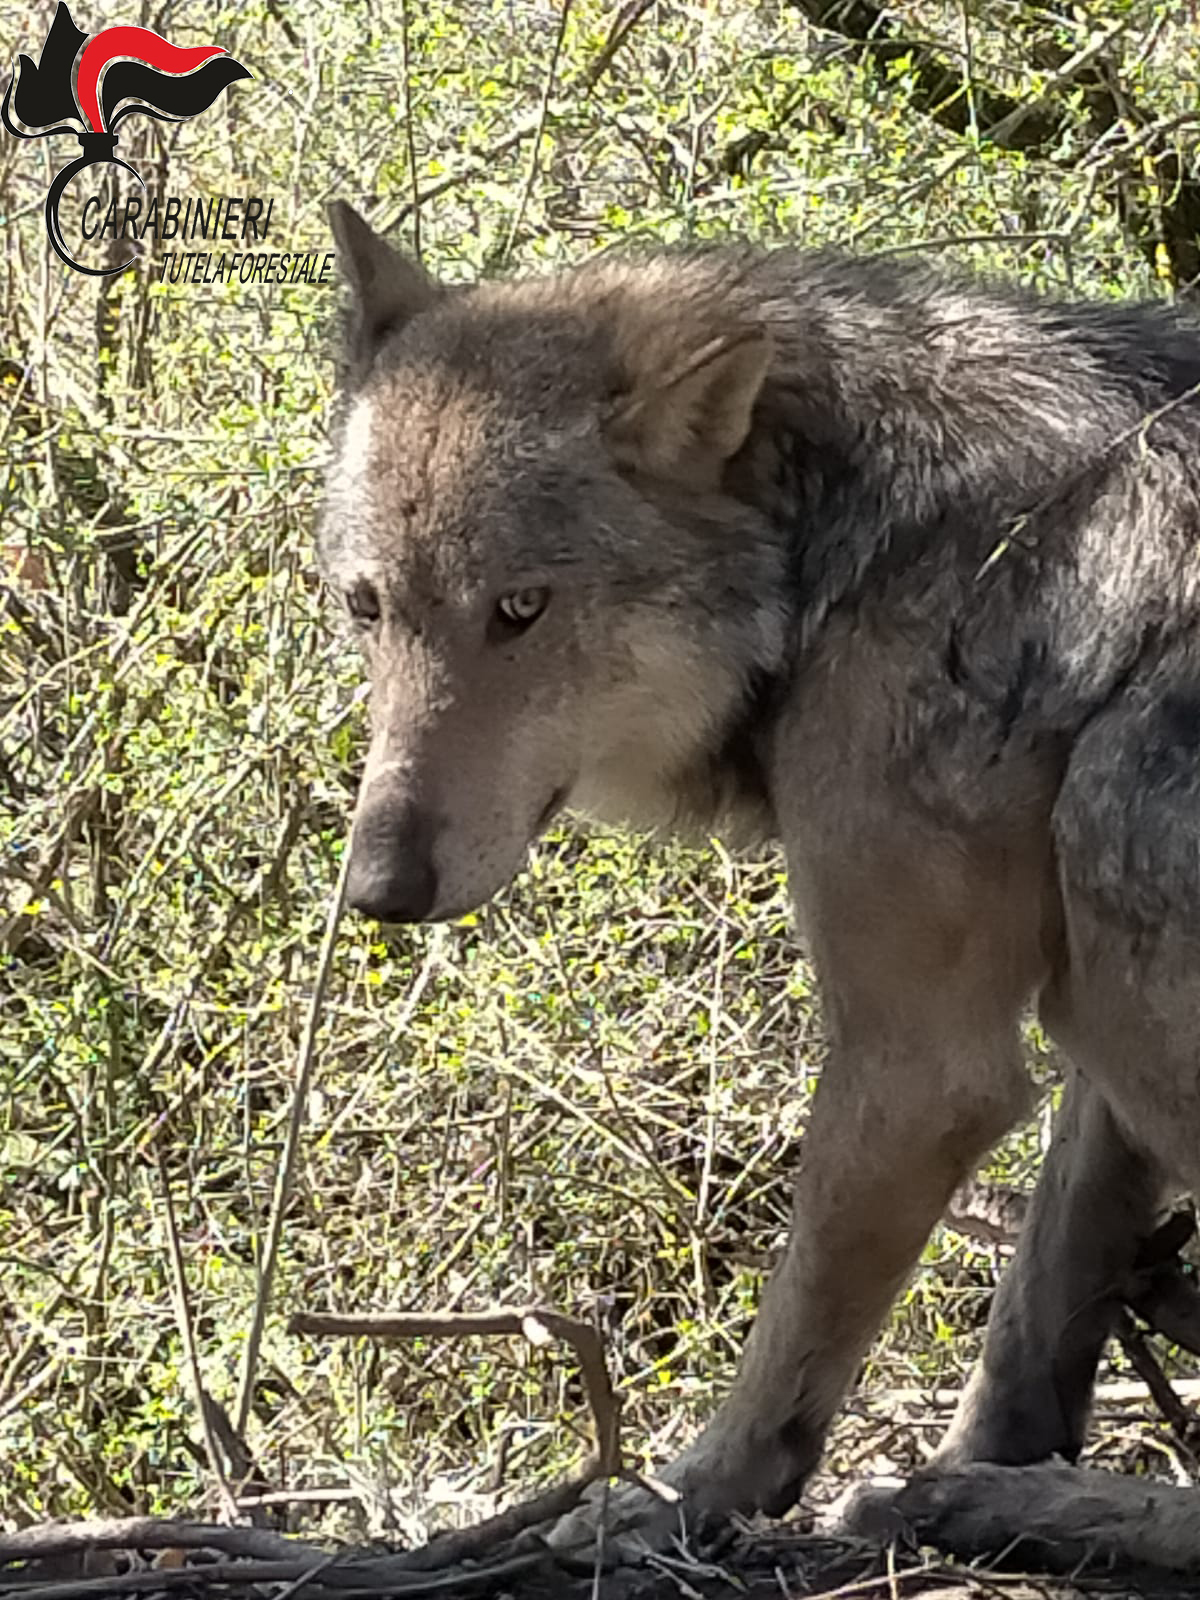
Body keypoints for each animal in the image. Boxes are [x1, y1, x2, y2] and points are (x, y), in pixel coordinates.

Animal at [316, 203, 1200, 1536]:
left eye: (520, 608)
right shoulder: (1065, 1075)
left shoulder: (922, 1070)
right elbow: (1035, 1310)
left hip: (1111, 816)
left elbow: (793, 1332)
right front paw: (982, 1463)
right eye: (368, 608)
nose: (378, 888)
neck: (842, 550)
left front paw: (687, 1497)